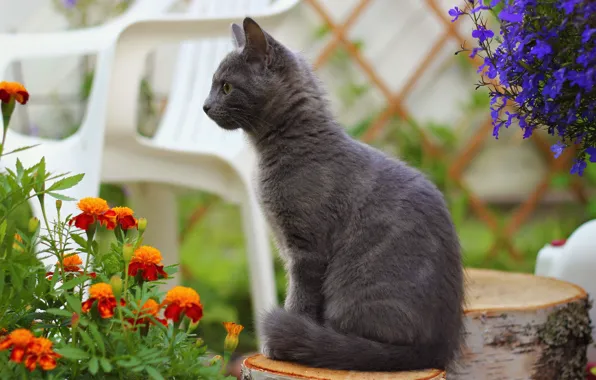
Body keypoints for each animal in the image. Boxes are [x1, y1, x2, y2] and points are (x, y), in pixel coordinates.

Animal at [205, 17, 466, 372]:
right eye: (212, 85)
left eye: (227, 87)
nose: (205, 106)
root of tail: (435, 349)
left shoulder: (305, 250)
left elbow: (299, 298)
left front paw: (279, 342)